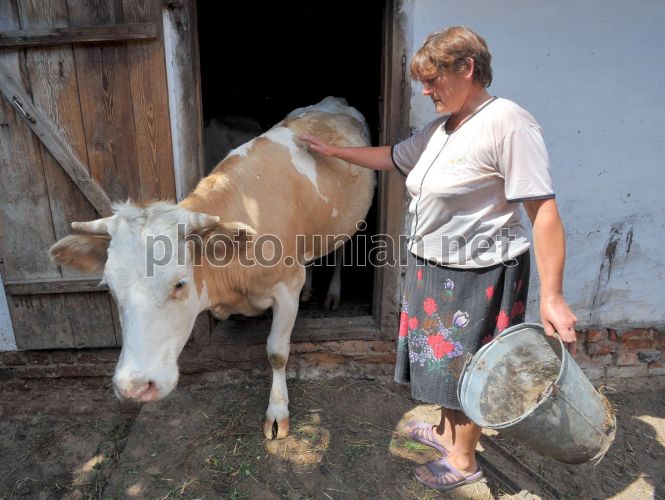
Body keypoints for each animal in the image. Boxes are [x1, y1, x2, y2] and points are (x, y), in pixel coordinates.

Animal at [49, 96, 376, 438]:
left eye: (180, 283)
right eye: (110, 288)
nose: (134, 387)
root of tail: (332, 102)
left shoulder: (287, 286)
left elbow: (276, 351)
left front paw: (277, 412)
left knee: (340, 253)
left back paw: (333, 294)